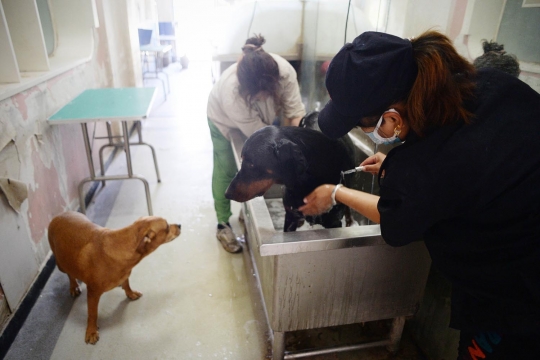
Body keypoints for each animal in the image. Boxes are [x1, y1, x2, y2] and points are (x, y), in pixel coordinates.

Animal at [48, 212, 181, 344]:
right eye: (167, 227)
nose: (180, 225)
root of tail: (58, 216)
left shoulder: (125, 273)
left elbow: (127, 284)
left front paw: (130, 293)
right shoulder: (93, 293)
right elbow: (92, 314)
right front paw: (91, 331)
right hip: (61, 264)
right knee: (70, 274)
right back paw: (74, 286)